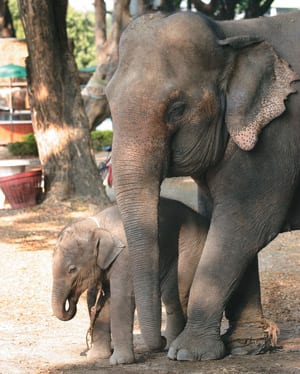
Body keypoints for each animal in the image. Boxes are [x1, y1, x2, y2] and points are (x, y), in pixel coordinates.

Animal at [51, 197, 207, 364]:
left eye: (72, 269)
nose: (71, 302)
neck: (98, 227)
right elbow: (103, 301)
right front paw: (96, 357)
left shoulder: (125, 259)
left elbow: (120, 298)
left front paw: (119, 362)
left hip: (189, 254)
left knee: (173, 296)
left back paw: (169, 346)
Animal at [105, 11, 300, 360]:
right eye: (108, 103)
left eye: (177, 109)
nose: (157, 346)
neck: (230, 33)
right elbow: (222, 221)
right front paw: (245, 347)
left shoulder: (276, 138)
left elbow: (246, 224)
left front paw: (186, 353)